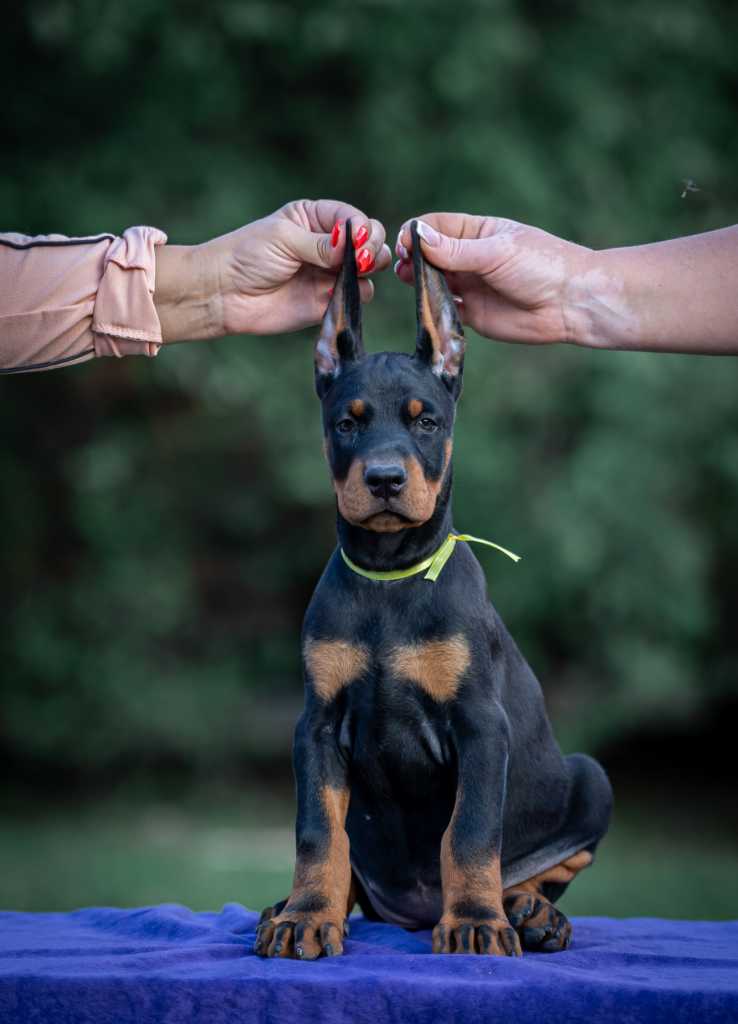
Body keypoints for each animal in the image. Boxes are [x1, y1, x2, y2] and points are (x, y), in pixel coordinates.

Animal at [253, 220, 610, 954]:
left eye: (426, 421)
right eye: (347, 422)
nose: (386, 479)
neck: (390, 575)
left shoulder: (480, 725)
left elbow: (470, 833)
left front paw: (474, 920)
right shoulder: (316, 726)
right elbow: (318, 834)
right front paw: (307, 915)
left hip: (591, 778)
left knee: (536, 867)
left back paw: (530, 912)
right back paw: (290, 908)